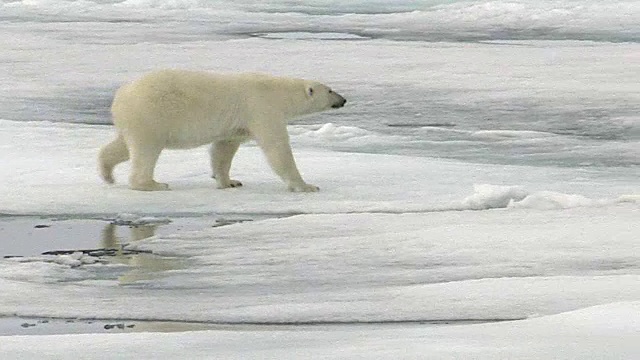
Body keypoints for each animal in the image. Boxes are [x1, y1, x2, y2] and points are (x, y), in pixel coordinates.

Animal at [97, 69, 344, 191]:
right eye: (330, 90)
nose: (343, 100)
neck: (277, 90)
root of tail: (120, 96)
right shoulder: (261, 107)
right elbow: (277, 148)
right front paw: (306, 186)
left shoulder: (237, 123)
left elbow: (224, 149)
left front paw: (229, 181)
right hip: (151, 114)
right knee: (146, 150)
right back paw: (152, 184)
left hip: (135, 120)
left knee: (122, 146)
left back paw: (107, 173)